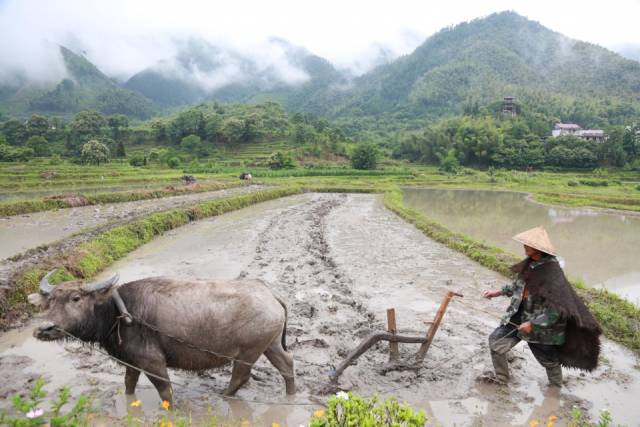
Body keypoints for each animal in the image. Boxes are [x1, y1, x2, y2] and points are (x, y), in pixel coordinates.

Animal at [31, 272, 296, 402]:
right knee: (287, 364)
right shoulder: (133, 360)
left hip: (249, 352)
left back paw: (224, 397)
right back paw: (291, 395)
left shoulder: (152, 362)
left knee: (241, 377)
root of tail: (270, 294)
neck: (118, 312)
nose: (44, 328)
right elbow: (129, 384)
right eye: (50, 300)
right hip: (270, 345)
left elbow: (165, 391)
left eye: (76, 298)